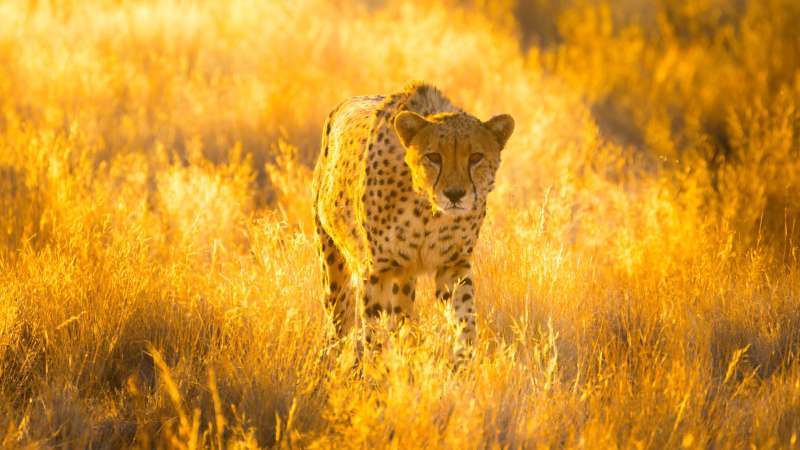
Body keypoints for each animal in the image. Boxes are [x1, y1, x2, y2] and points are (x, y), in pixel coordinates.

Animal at [312, 83, 514, 360]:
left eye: (476, 157)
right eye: (434, 157)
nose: (454, 194)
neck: (427, 210)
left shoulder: (453, 265)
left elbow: (465, 318)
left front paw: (462, 359)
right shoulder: (377, 270)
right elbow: (373, 328)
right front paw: (377, 366)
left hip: (405, 278)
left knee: (400, 318)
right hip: (333, 264)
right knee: (339, 321)